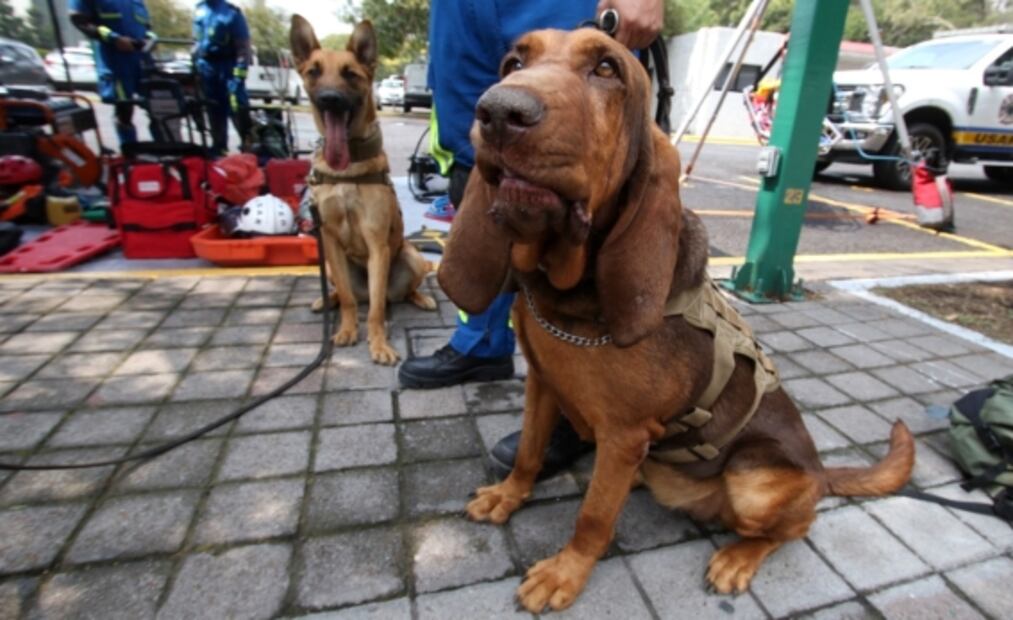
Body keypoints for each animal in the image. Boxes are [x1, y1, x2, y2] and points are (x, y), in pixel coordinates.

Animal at [290, 16, 436, 365]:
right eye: (313, 71)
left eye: (350, 74)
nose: (329, 98)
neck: (347, 169)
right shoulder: (328, 239)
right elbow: (347, 299)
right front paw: (346, 330)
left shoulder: (377, 243)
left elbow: (376, 309)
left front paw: (379, 344)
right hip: (331, 266)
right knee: (347, 294)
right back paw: (324, 300)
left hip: (410, 257)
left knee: (395, 294)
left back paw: (421, 298)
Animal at [437, 28, 916, 613]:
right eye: (513, 62)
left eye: (606, 68)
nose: (500, 111)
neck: (567, 293)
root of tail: (822, 472)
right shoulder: (543, 388)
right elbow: (528, 454)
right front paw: (508, 497)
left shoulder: (623, 436)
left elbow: (593, 517)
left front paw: (565, 573)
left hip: (753, 480)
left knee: (793, 528)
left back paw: (738, 558)